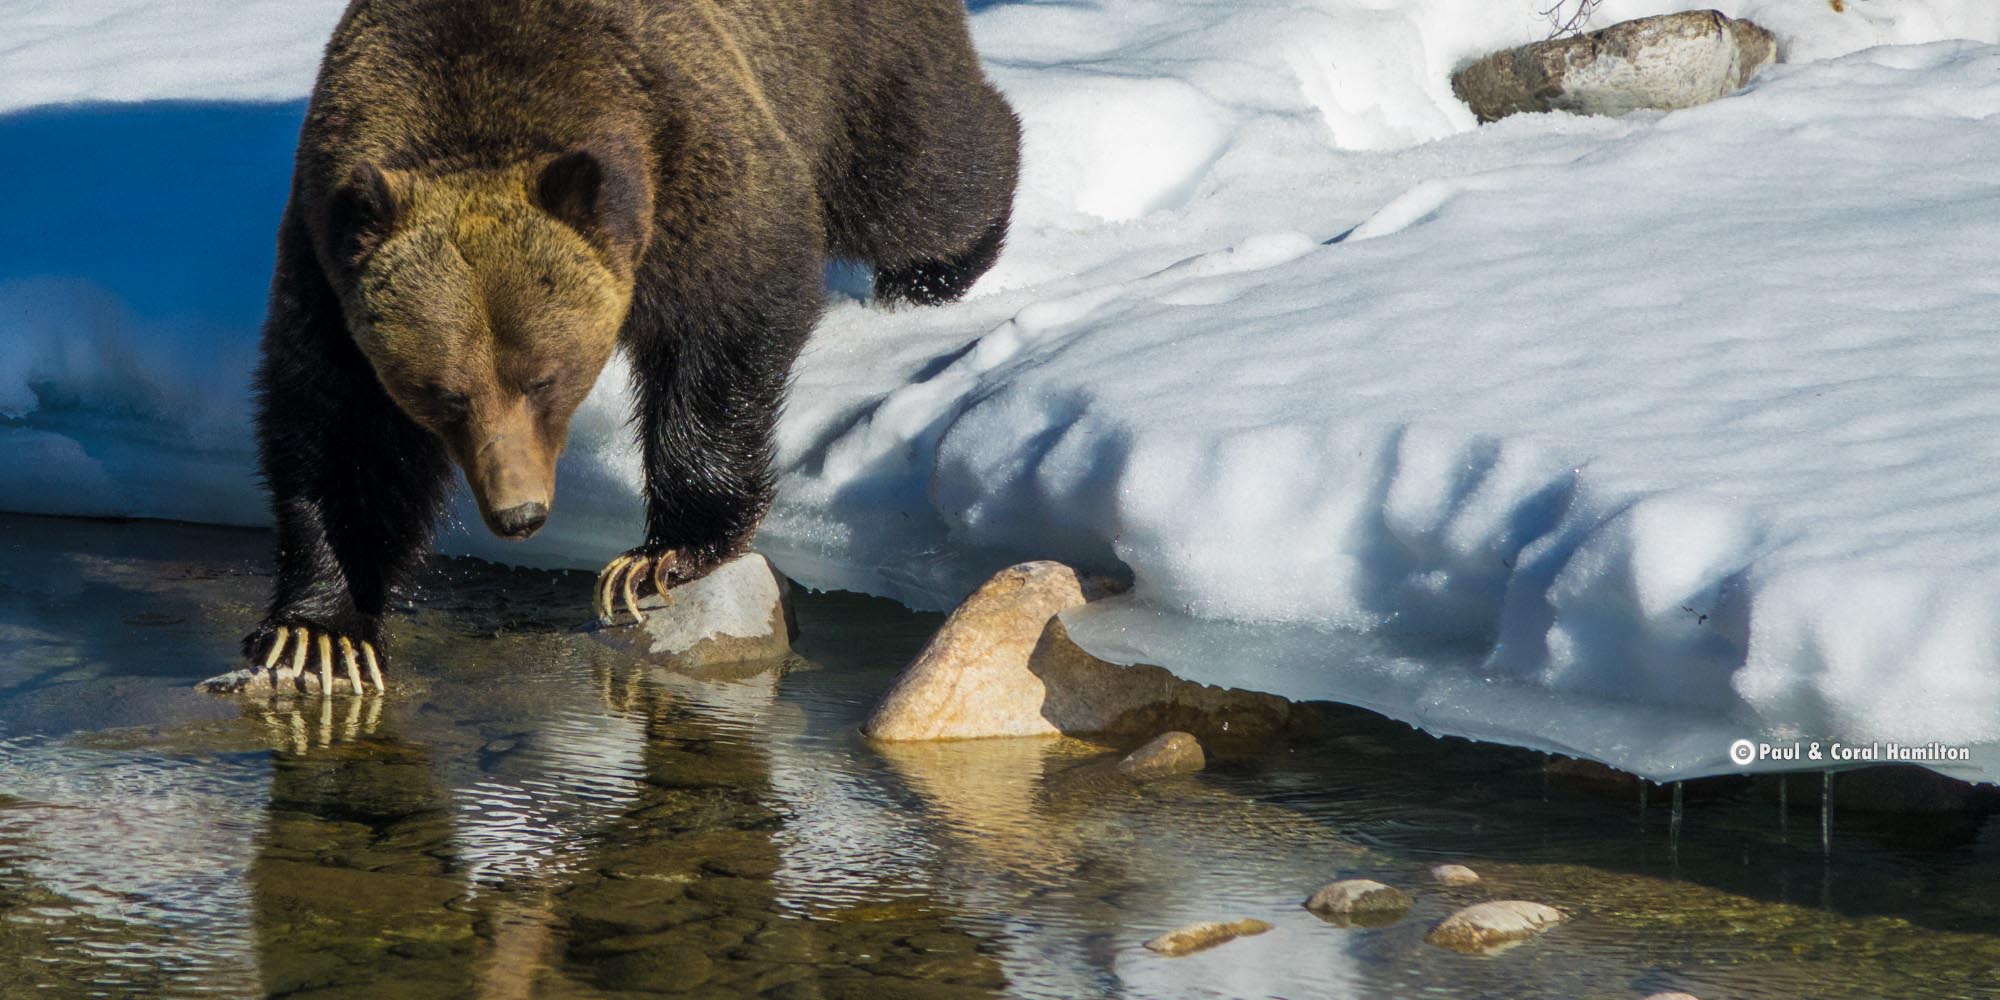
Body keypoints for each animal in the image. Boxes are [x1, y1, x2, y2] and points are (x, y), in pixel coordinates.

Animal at [238, 0, 1016, 692]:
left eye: (545, 378)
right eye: (444, 393)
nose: (519, 514)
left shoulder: (689, 158)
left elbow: (725, 328)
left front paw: (658, 556)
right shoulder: (326, 264)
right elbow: (340, 432)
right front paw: (321, 632)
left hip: (849, 55)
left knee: (916, 175)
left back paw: (945, 261)